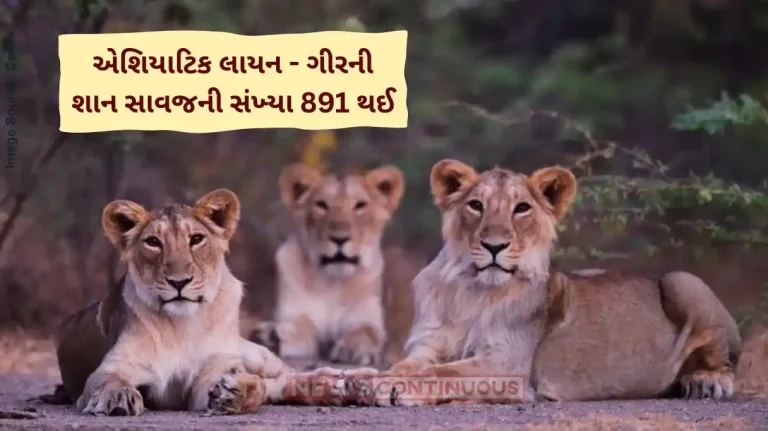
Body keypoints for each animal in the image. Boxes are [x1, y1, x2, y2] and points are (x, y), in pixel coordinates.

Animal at [55, 189, 348, 416]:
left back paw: (335, 382)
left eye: (196, 239)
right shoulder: (114, 366)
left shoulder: (214, 368)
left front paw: (237, 392)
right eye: (153, 242)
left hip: (253, 352)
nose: (179, 282)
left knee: (284, 374)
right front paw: (117, 396)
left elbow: (256, 386)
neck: (182, 325)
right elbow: (108, 380)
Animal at [249, 163, 407, 367]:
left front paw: (351, 349)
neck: (333, 283)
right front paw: (279, 340)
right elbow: (299, 332)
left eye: (360, 205)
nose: (340, 238)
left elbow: (365, 332)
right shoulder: (296, 315)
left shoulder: (367, 320)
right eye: (321, 205)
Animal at [344, 159, 740, 406]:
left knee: (725, 363)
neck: (473, 292)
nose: (494, 245)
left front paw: (394, 386)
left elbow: (442, 373)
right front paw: (371, 378)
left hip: (683, 280)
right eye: (475, 205)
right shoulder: (427, 344)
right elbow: (412, 365)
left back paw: (705, 381)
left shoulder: (509, 363)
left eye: (521, 209)